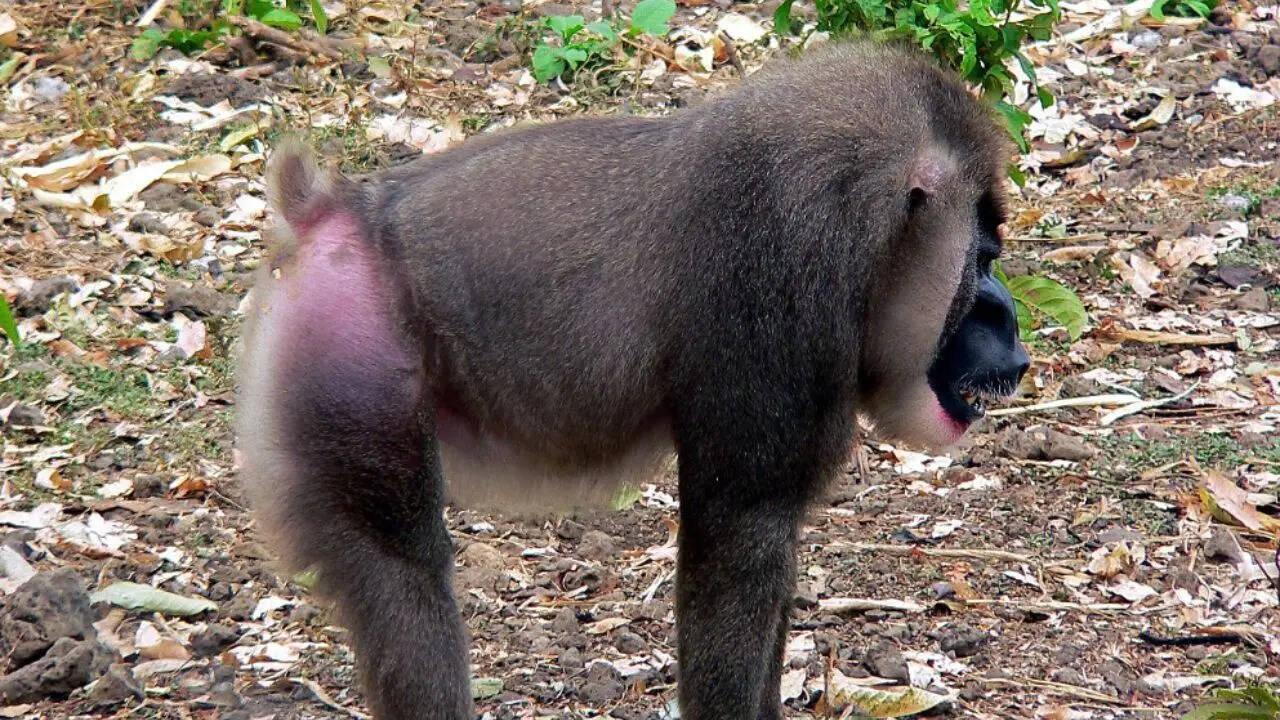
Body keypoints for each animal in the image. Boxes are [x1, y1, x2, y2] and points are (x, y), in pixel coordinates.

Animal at [236, 40, 1030, 720]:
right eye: (984, 258)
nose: (1015, 340)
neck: (860, 226)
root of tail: (335, 212)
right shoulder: (773, 304)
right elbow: (738, 539)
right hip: (354, 359)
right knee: (401, 572)